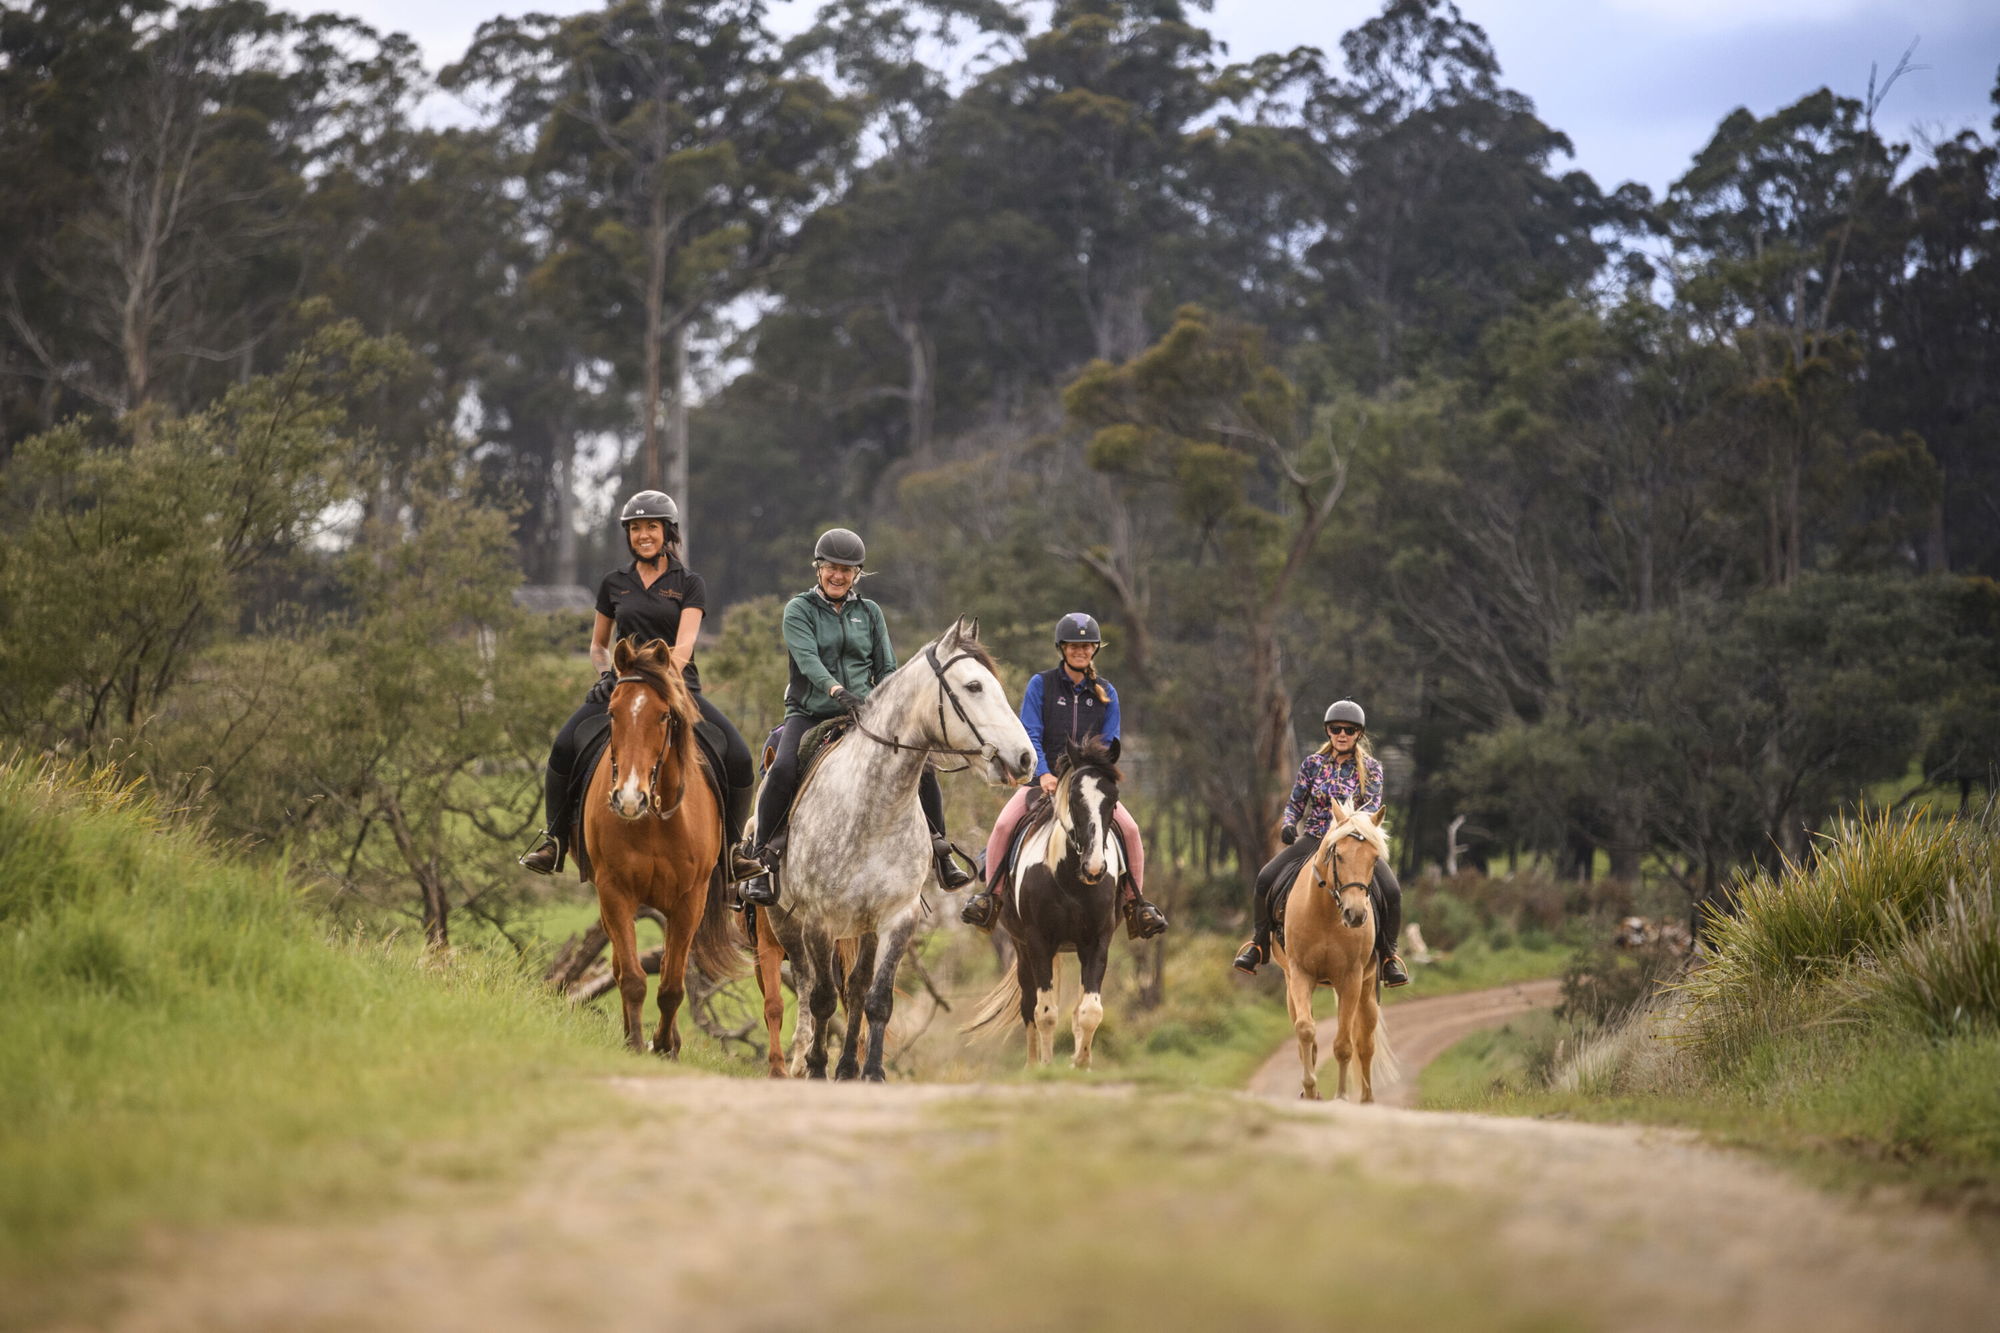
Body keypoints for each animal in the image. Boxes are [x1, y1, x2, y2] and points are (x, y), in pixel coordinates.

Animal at [582, 637, 742, 1055]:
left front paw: (665, 1044)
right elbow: (633, 977)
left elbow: (671, 985)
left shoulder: (690, 899)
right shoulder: (614, 891)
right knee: (621, 966)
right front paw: (637, 1043)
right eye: (612, 712)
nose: (628, 799)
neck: (654, 819)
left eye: (663, 716)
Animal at [773, 616, 1034, 1081]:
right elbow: (822, 997)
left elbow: (877, 999)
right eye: (973, 686)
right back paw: (802, 1060)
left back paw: (845, 1067)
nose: (1025, 759)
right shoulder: (818, 921)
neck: (870, 808)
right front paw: (817, 1068)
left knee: (855, 989)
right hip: (785, 923)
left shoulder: (899, 917)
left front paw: (871, 1072)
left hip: (863, 927)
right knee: (805, 986)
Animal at [966, 737, 1125, 1069]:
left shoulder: (1097, 942)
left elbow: (1089, 1011)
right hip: (1021, 948)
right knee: (1029, 1005)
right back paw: (1030, 1064)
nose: (1094, 868)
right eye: (1075, 799)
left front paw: (1081, 1064)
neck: (1070, 879)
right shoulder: (1038, 942)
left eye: (1113, 799)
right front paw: (1046, 1068)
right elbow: (1045, 1013)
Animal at [1270, 801, 1395, 1101]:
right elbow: (1305, 1031)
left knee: (1365, 1043)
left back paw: (1367, 1100)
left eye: (1375, 859)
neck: (1327, 914)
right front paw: (1310, 1090)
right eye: (1338, 855)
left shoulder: (1350, 979)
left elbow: (1344, 1044)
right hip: (1291, 983)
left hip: (1367, 989)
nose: (1355, 914)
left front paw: (1341, 1096)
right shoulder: (1300, 974)